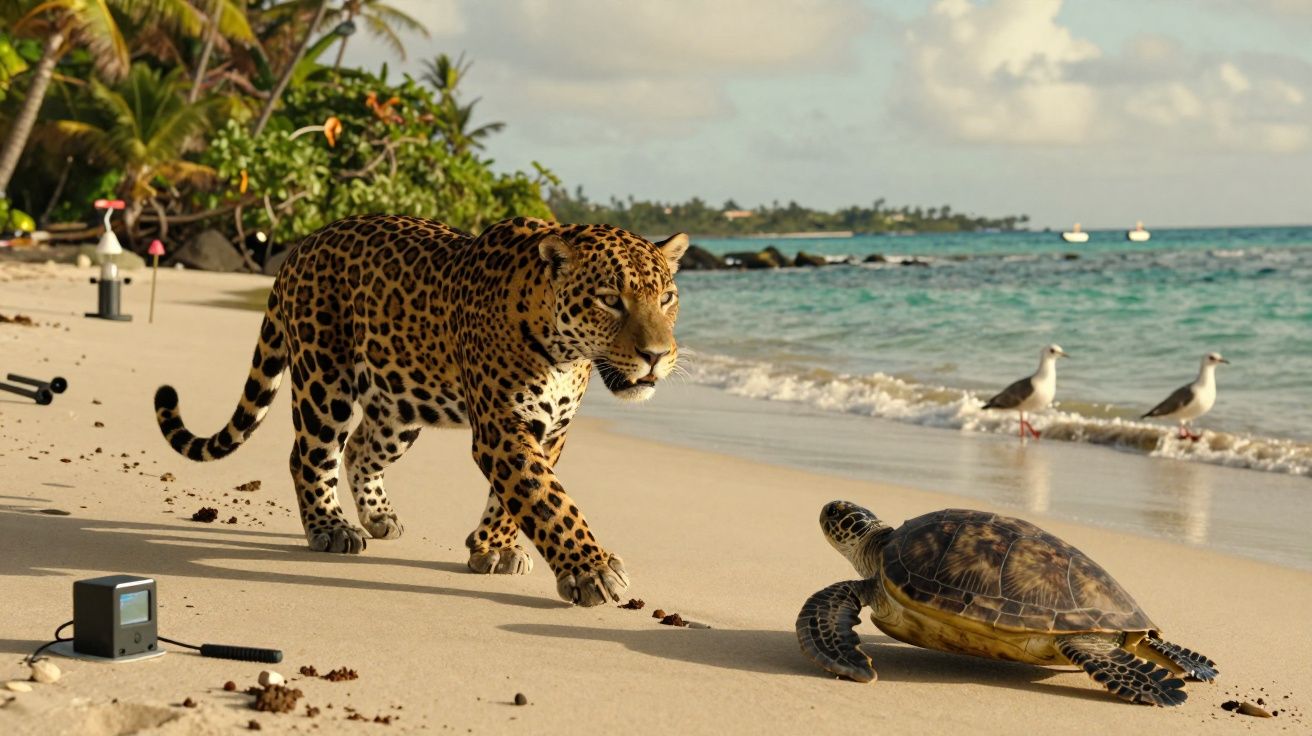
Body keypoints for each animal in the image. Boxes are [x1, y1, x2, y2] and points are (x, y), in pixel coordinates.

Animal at [152, 214, 689, 606]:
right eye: (609, 300)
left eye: (667, 298)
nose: (657, 356)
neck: (565, 354)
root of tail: (301, 246)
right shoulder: (501, 426)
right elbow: (546, 498)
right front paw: (591, 571)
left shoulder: (549, 429)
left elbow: (516, 497)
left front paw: (494, 549)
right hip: (325, 379)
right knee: (310, 455)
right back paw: (331, 528)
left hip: (402, 404)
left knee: (360, 451)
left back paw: (378, 518)